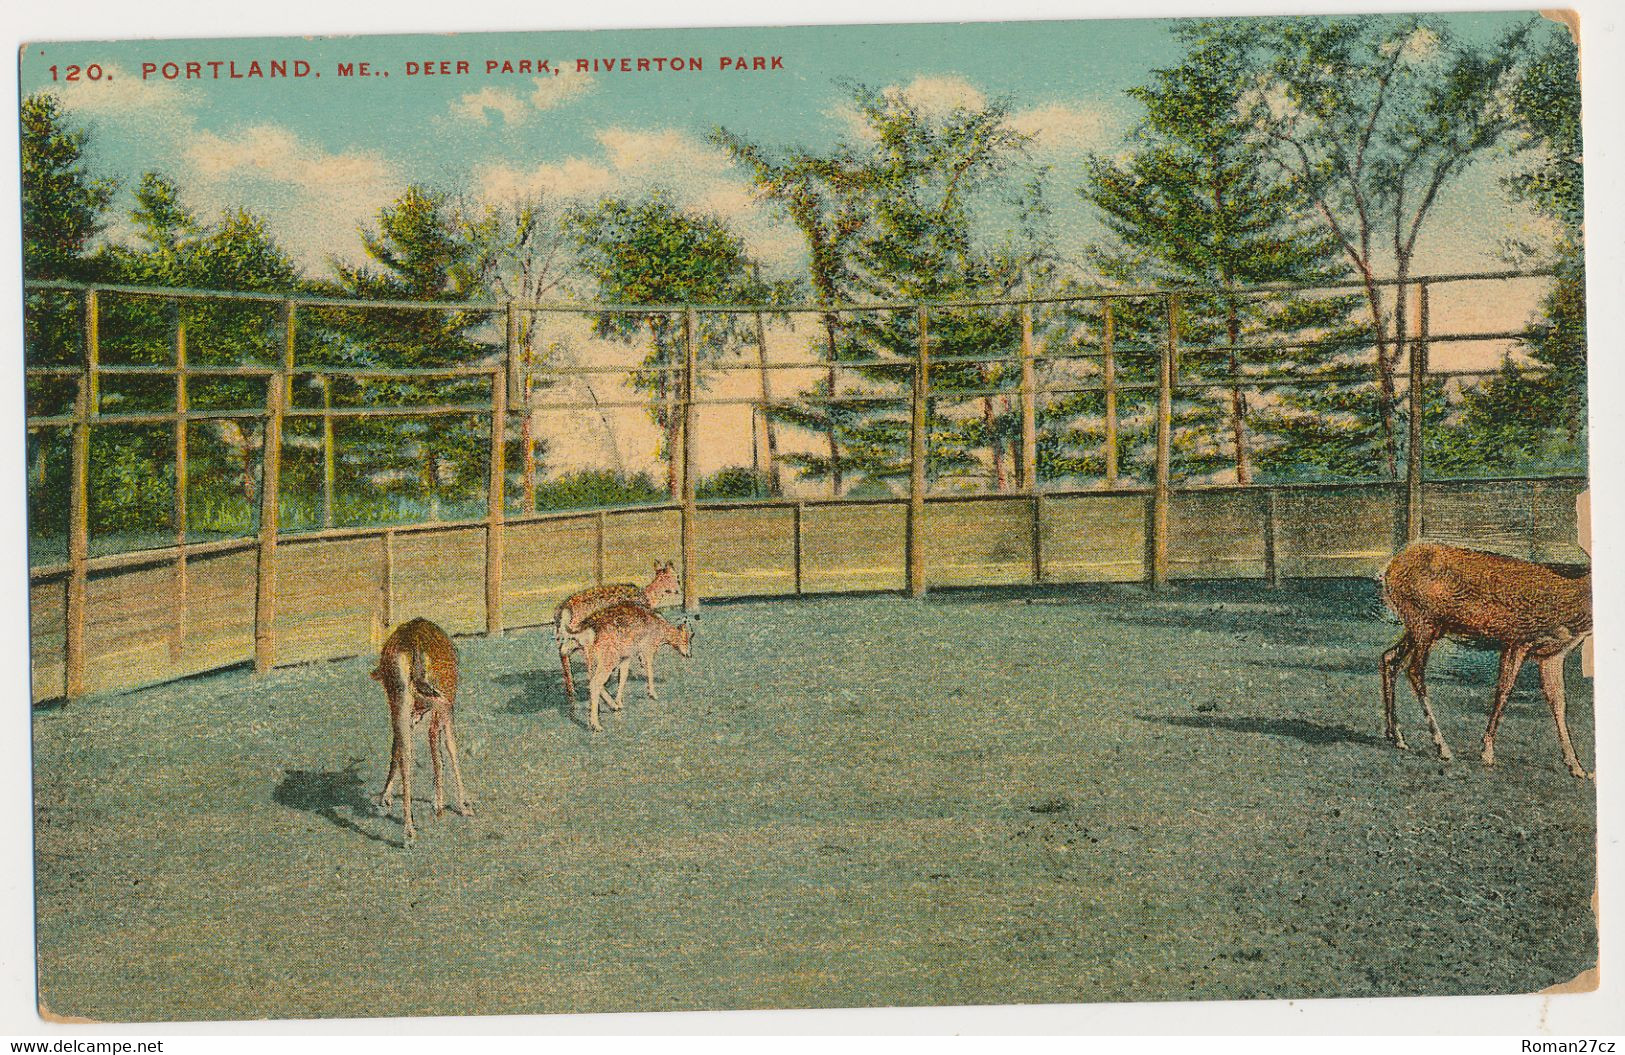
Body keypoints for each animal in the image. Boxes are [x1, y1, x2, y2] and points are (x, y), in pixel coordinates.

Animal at [368, 617, 471, 838]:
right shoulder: (446, 703)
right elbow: (449, 748)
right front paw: (459, 804)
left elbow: (396, 749)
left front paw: (385, 797)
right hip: (442, 699)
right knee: (437, 745)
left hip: (401, 699)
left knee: (405, 753)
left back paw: (409, 830)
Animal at [552, 559, 679, 698]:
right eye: (675, 576)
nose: (678, 590)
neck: (648, 597)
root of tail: (563, 611)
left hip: (566, 635)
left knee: (563, 651)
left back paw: (572, 690)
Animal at [578, 601, 692, 731]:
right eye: (687, 639)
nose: (689, 654)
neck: (662, 632)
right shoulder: (648, 648)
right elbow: (650, 670)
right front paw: (653, 694)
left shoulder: (626, 656)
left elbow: (623, 676)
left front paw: (619, 702)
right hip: (609, 658)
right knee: (595, 682)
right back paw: (596, 725)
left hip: (592, 659)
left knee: (592, 680)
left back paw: (613, 706)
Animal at [1378, 542, 1592, 773]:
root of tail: (1389, 569)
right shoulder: (1516, 639)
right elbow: (1503, 692)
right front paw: (1487, 751)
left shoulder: (1553, 655)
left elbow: (1558, 702)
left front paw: (1576, 766)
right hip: (1423, 619)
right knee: (1414, 671)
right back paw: (1442, 746)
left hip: (1427, 626)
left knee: (1389, 657)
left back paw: (1396, 735)